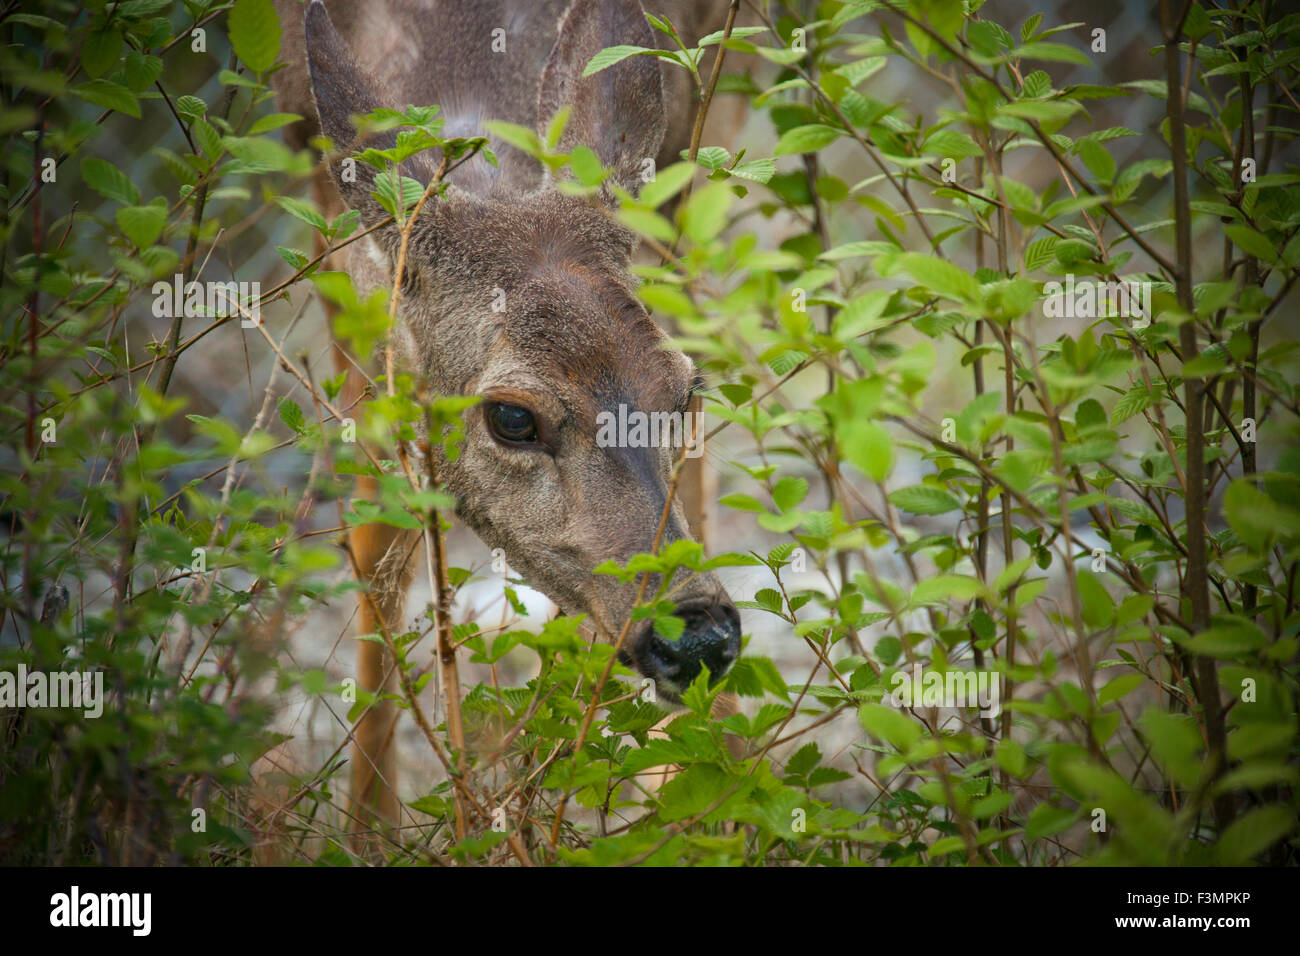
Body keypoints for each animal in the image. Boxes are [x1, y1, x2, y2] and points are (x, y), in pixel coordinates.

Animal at [273, 0, 743, 837]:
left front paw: (692, 795)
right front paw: (368, 829)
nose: (700, 636)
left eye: (686, 393)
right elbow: (374, 546)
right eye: (512, 419)